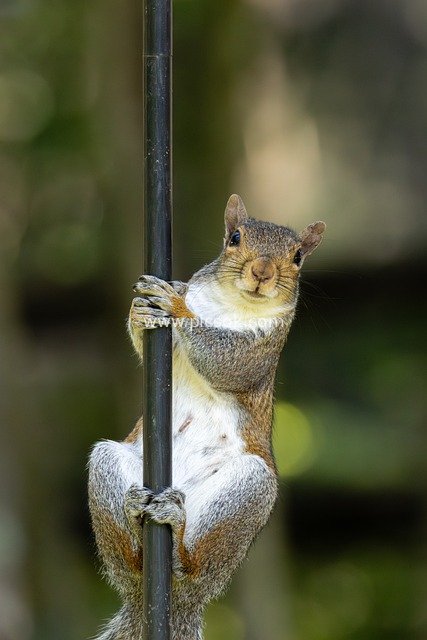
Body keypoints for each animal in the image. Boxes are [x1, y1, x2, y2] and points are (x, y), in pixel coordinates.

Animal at [88, 194, 325, 640]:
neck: (233, 304)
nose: (262, 273)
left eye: (298, 257)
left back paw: (178, 536)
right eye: (234, 238)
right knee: (131, 565)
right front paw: (143, 307)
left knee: (192, 568)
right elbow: (146, 343)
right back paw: (135, 523)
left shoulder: (259, 351)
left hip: (249, 491)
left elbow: (222, 360)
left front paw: (176, 305)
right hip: (105, 463)